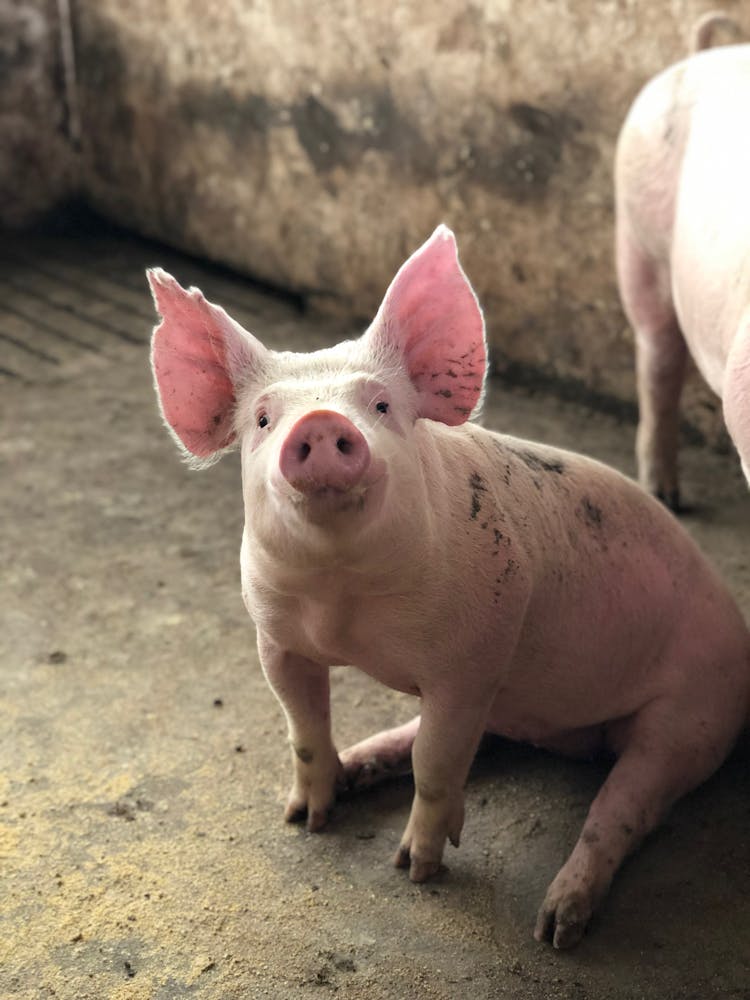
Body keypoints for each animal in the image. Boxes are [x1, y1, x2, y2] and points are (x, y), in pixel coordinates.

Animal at [147, 229, 750, 952]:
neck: (345, 599)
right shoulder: (276, 636)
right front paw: (304, 819)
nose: (318, 423)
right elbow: (304, 725)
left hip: (696, 712)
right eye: (263, 419)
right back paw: (358, 768)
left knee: (622, 808)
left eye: (382, 406)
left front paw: (415, 870)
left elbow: (437, 762)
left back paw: (556, 926)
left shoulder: (473, 655)